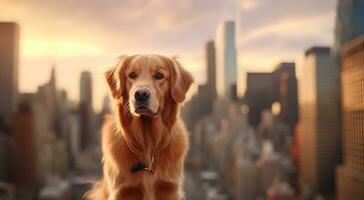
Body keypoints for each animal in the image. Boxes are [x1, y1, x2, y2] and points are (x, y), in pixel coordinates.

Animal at [85, 54, 193, 200]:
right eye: (132, 75)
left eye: (159, 75)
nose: (141, 94)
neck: (147, 147)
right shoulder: (121, 191)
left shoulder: (169, 189)